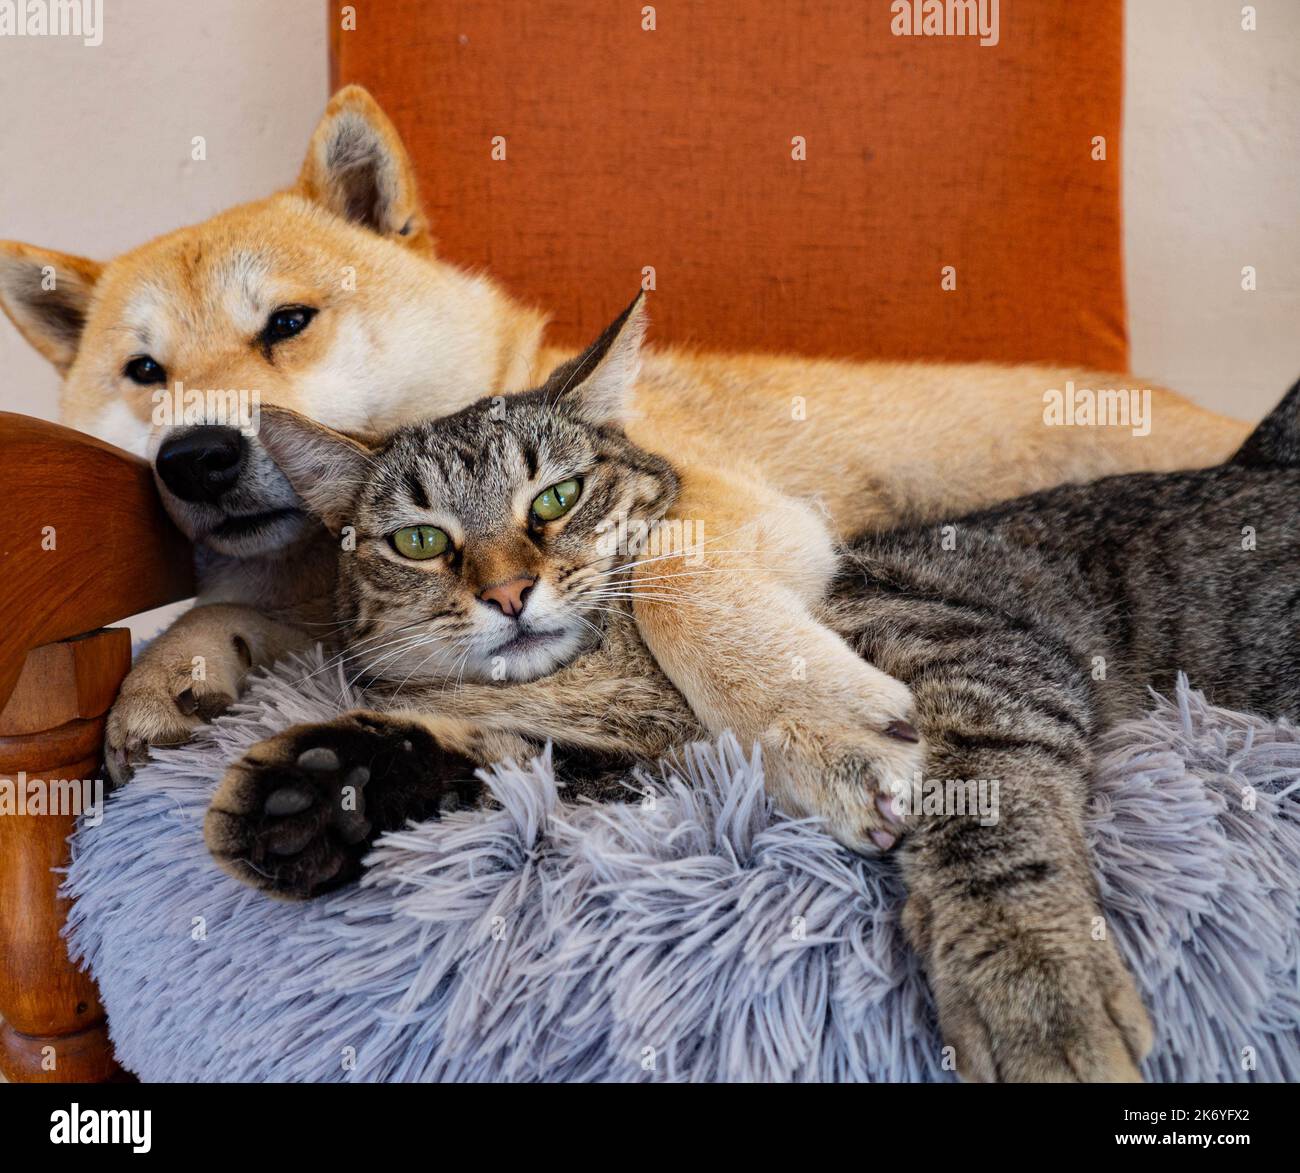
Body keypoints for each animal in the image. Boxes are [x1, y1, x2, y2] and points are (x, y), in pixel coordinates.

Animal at [0, 85, 1248, 873]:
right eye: (142, 373)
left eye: (289, 324)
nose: (196, 455)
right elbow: (226, 617)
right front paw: (171, 675)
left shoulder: (723, 510)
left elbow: (684, 593)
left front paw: (817, 724)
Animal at [202, 300, 1300, 1081]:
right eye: (420, 541)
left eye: (556, 499)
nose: (509, 592)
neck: (601, 683)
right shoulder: (659, 775)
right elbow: (503, 766)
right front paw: (312, 794)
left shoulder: (968, 648)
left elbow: (987, 822)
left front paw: (1032, 987)